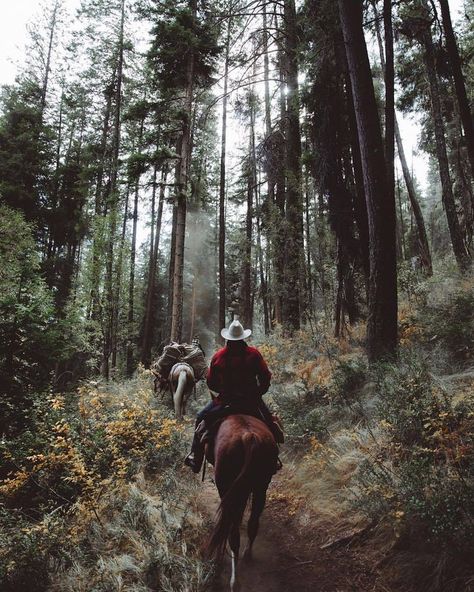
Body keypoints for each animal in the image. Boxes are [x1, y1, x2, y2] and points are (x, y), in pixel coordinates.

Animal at [207, 414, 278, 588]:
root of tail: (248, 437)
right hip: (261, 486)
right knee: (253, 523)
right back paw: (247, 554)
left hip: (227, 484)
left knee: (232, 534)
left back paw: (234, 580)